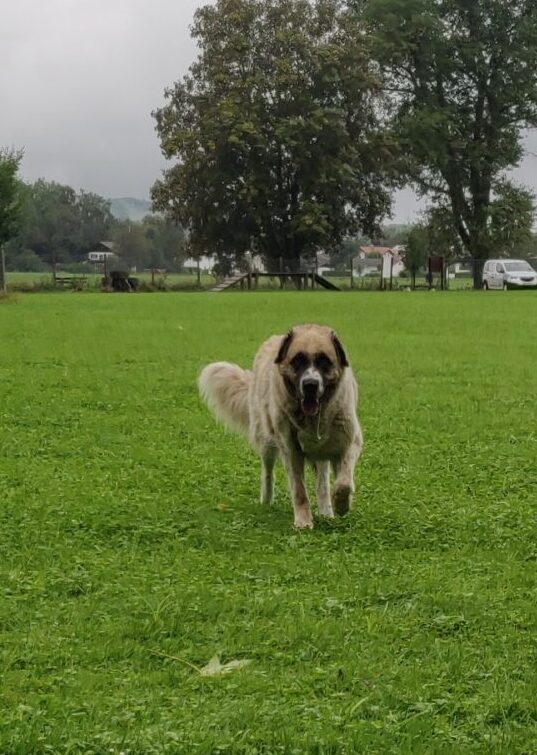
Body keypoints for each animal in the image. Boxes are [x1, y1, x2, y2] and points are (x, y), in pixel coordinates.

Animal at [198, 324, 363, 528]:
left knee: (322, 482)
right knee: (267, 471)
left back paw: (326, 511)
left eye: (324, 361)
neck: (315, 418)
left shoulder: (350, 441)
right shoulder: (290, 449)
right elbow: (299, 490)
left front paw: (341, 504)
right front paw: (303, 521)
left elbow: (344, 480)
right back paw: (266, 501)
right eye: (297, 360)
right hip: (267, 440)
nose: (310, 385)